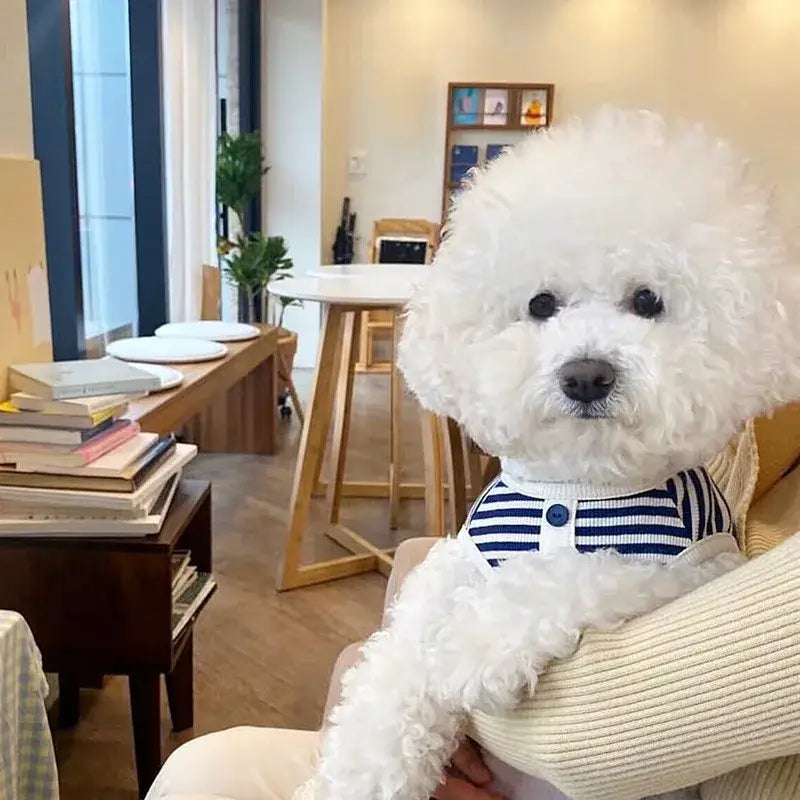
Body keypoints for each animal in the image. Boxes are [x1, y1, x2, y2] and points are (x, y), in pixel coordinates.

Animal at [296, 109, 800, 800]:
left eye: (648, 300)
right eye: (541, 304)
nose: (586, 375)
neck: (575, 487)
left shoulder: (690, 566)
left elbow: (569, 574)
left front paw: (473, 648)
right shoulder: (464, 556)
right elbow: (400, 651)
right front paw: (359, 771)